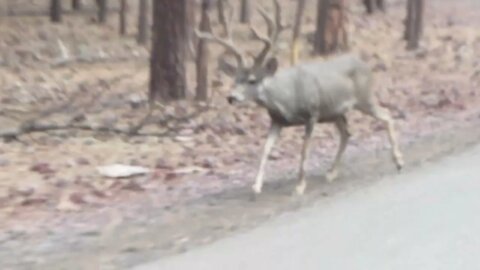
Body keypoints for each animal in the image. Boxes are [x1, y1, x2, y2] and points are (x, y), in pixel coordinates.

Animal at [196, 0, 404, 195]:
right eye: (235, 80)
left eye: (252, 80)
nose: (231, 97)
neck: (286, 99)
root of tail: (365, 64)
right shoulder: (277, 120)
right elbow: (265, 149)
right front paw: (256, 186)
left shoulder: (312, 114)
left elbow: (304, 150)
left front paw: (300, 186)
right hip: (335, 112)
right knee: (347, 133)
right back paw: (331, 173)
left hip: (364, 98)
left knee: (386, 115)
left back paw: (398, 161)